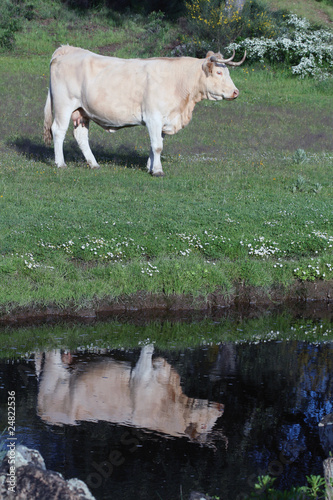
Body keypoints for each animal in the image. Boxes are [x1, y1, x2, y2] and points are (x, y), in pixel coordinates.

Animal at [43, 45, 244, 177]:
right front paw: (158, 170)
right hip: (64, 105)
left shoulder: (163, 120)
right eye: (219, 73)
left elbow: (155, 145)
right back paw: (61, 163)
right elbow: (157, 146)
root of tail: (67, 49)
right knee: (58, 131)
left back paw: (94, 164)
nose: (236, 92)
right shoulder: (153, 117)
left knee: (81, 136)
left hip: (82, 112)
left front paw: (150, 166)